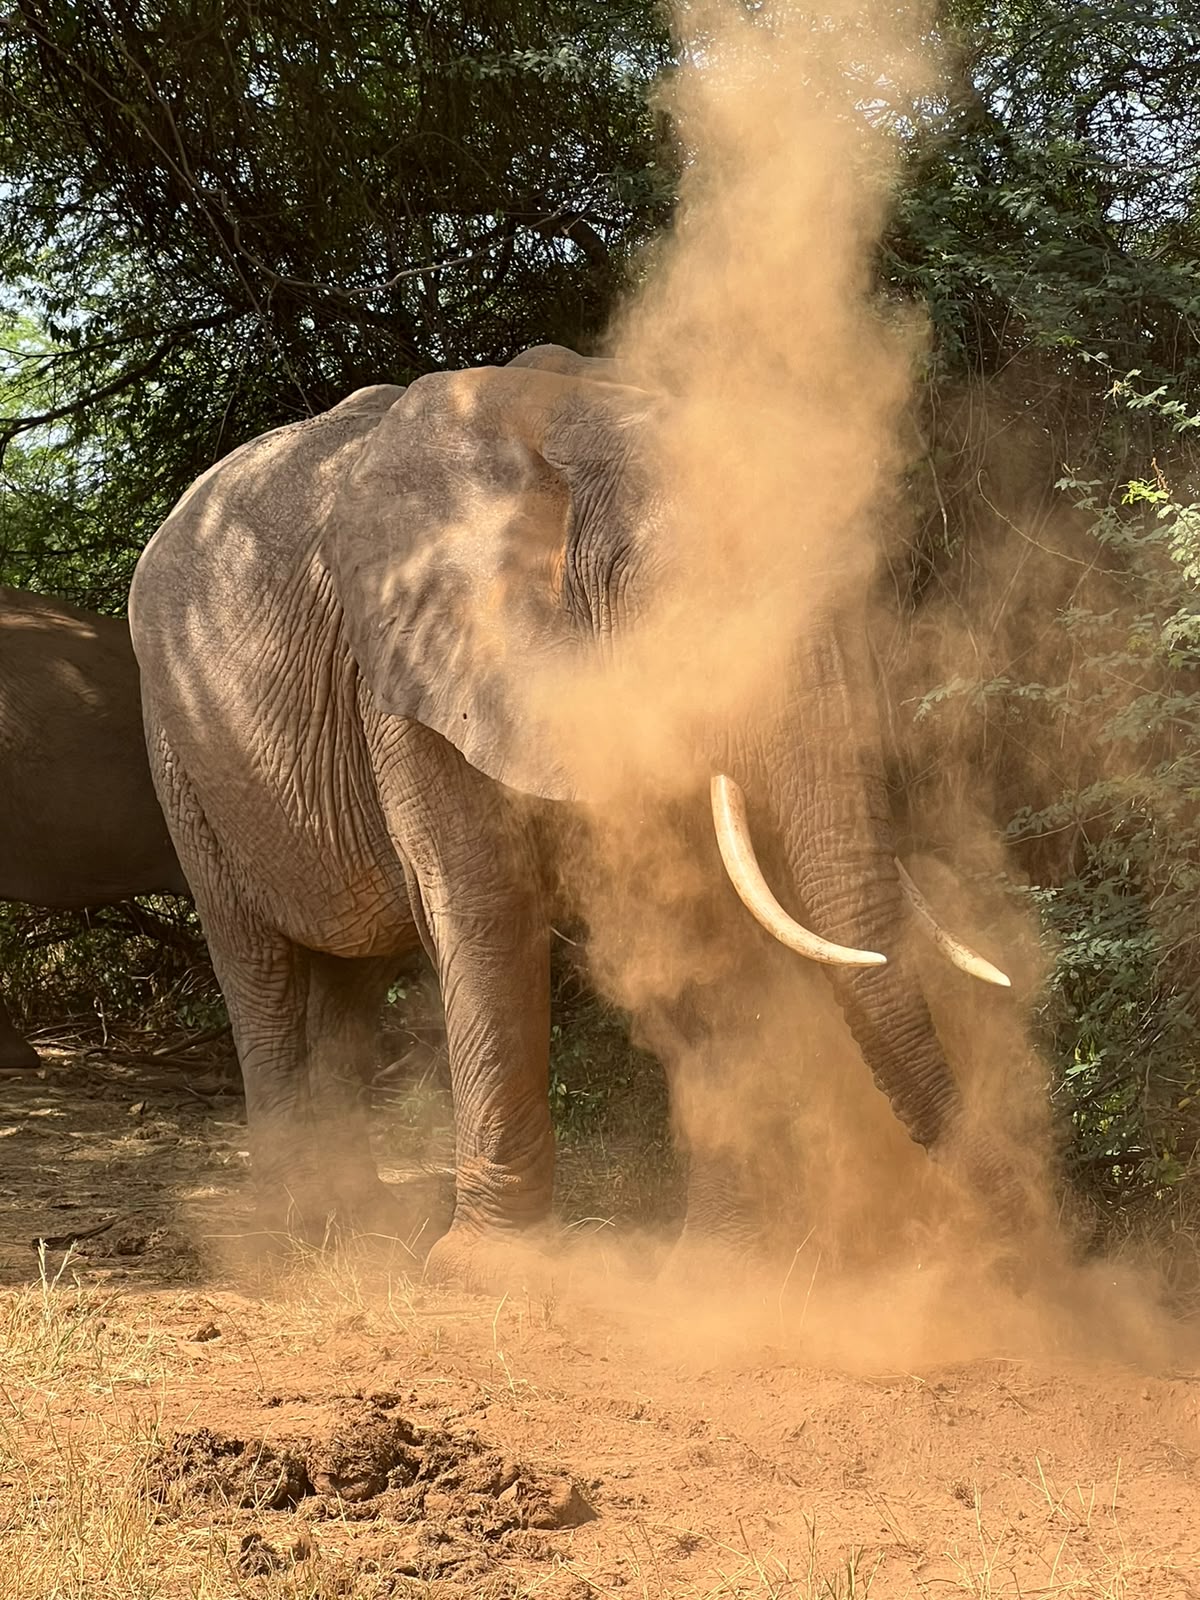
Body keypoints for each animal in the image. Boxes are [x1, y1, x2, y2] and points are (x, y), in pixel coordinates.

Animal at [127, 344, 1028, 1281]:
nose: (1020, 1236)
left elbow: (681, 919)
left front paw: (716, 1272)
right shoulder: (413, 676)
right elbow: (485, 908)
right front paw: (488, 1275)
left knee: (352, 970)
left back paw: (359, 1221)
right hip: (181, 746)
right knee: (257, 964)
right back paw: (292, 1234)